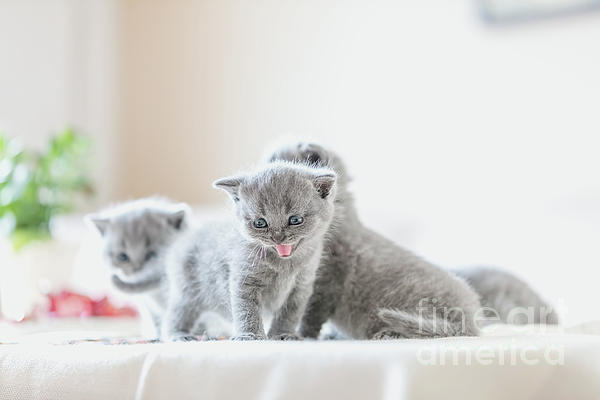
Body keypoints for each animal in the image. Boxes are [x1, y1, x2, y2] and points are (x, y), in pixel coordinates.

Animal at [85, 198, 190, 336]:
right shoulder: (147, 304)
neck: (156, 293)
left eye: (152, 255)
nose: (137, 269)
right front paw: (156, 335)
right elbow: (156, 320)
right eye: (122, 257)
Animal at [161, 162, 338, 340]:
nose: (277, 237)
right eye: (260, 223)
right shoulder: (244, 280)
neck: (284, 265)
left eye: (295, 220)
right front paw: (250, 335)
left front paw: (282, 334)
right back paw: (179, 335)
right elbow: (247, 310)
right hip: (187, 291)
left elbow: (290, 314)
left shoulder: (301, 285)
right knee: (176, 314)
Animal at [270, 142, 480, 340]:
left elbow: (311, 315)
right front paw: (330, 334)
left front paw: (301, 336)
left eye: (275, 162)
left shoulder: (325, 279)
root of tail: (471, 323)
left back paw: (389, 334)